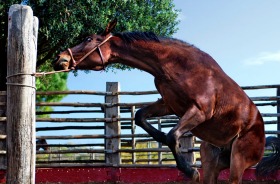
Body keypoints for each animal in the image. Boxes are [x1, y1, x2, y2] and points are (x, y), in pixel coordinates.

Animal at [53, 19, 280, 183]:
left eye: (89, 38)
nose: (60, 58)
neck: (177, 65)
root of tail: (261, 134)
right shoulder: (169, 104)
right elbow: (140, 116)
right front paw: (161, 139)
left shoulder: (200, 111)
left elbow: (172, 135)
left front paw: (189, 170)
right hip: (212, 160)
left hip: (238, 161)